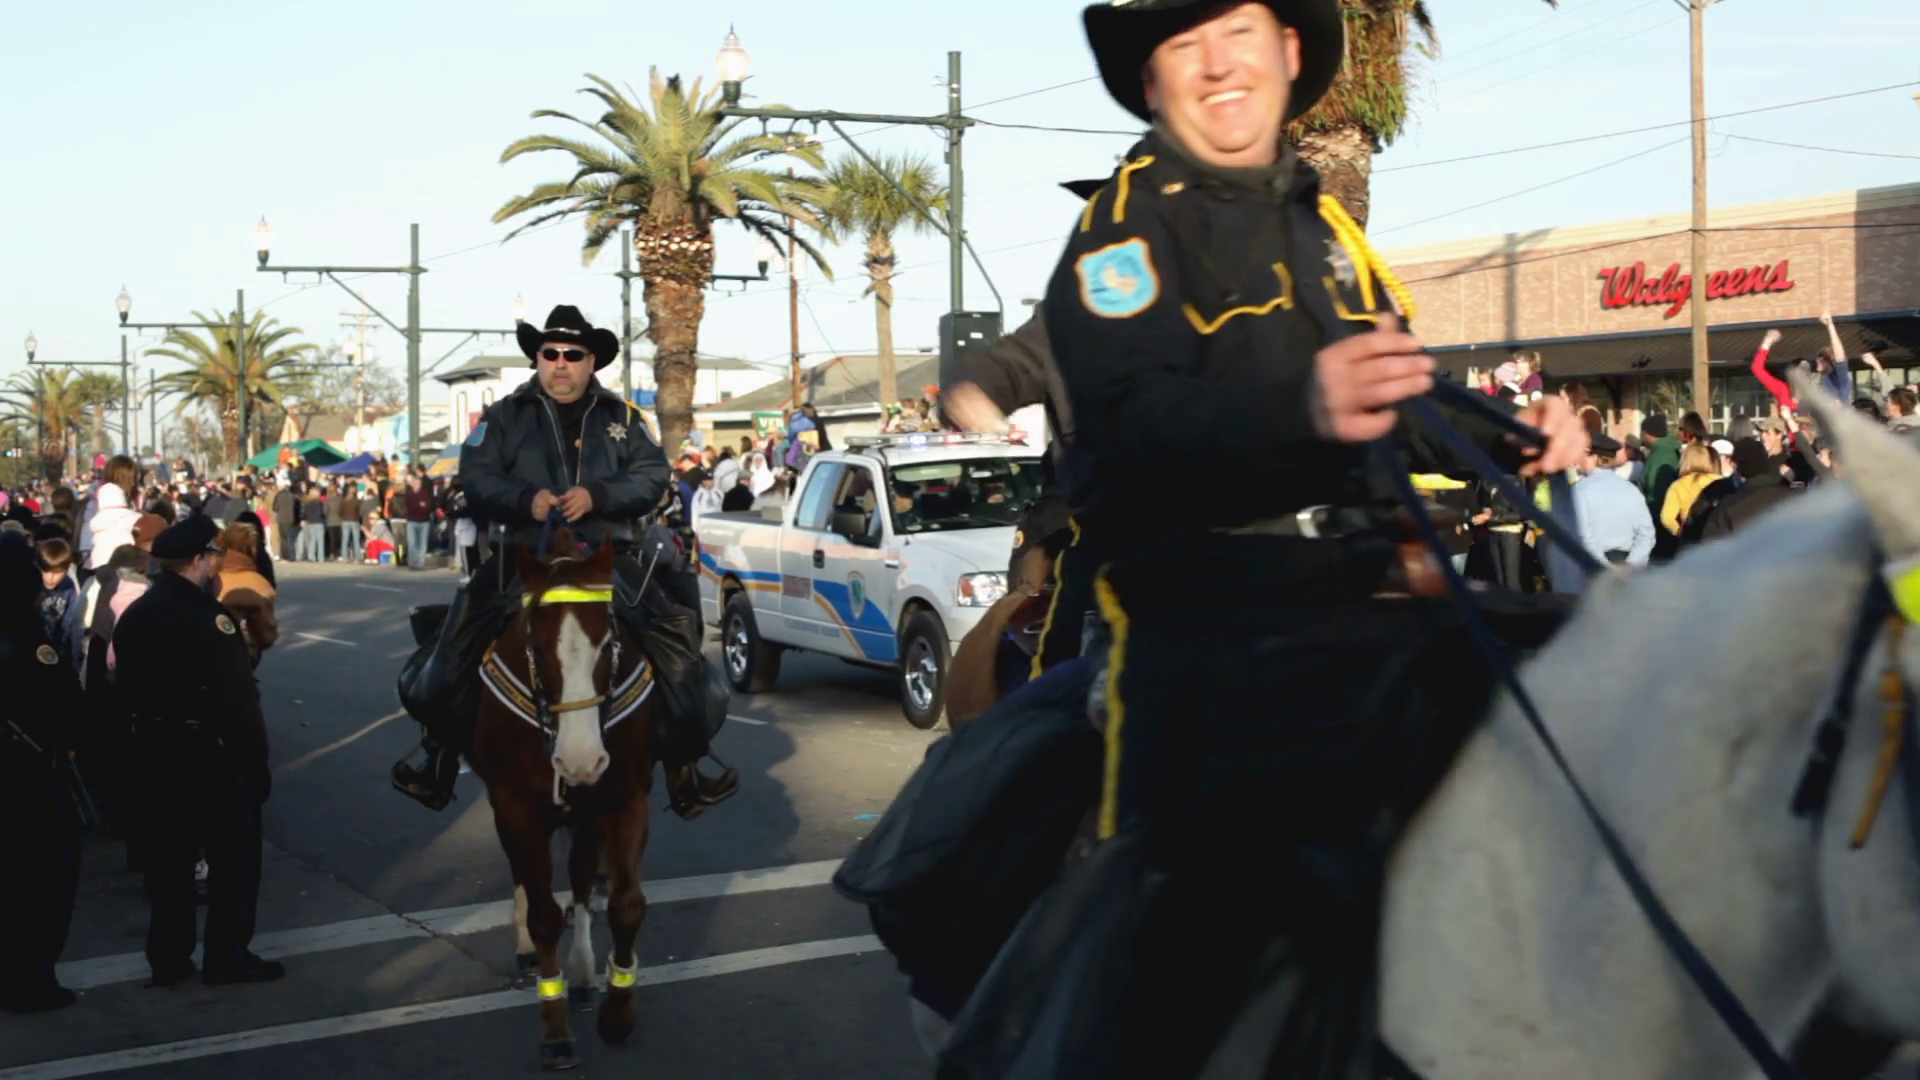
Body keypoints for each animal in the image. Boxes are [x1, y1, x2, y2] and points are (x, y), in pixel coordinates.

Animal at [466, 533, 660, 1070]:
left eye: (609, 643)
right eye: (535, 645)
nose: (580, 760)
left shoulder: (623, 797)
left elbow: (625, 904)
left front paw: (617, 1013)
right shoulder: (517, 807)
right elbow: (543, 914)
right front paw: (555, 1032)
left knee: (580, 879)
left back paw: (581, 972)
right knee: (525, 876)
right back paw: (529, 949)